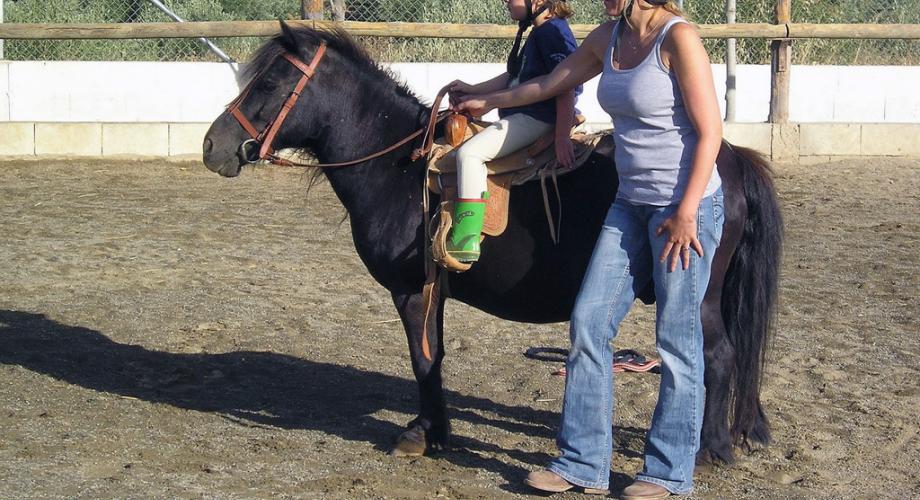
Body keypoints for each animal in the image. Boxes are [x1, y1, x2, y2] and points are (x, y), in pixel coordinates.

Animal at [203, 24, 784, 464]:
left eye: (270, 81)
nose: (213, 145)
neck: (399, 167)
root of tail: (730, 157)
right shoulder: (431, 291)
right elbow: (433, 355)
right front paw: (435, 430)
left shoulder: (409, 291)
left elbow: (422, 359)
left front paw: (424, 435)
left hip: (697, 296)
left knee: (720, 357)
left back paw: (709, 448)